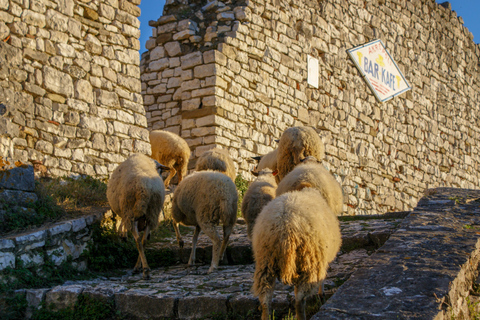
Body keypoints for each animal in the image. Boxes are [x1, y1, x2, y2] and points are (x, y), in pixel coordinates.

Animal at [251, 188, 342, 320]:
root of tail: (284, 227)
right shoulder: (321, 260)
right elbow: (322, 279)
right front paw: (321, 294)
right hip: (309, 262)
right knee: (300, 298)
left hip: (265, 260)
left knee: (265, 297)